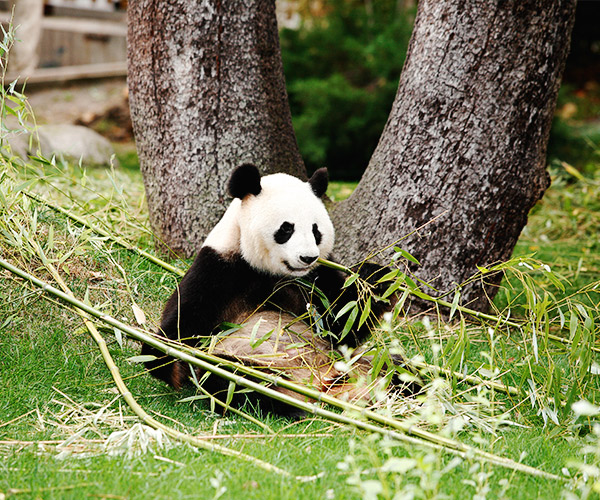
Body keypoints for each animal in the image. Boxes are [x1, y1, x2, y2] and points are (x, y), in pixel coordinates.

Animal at [142, 165, 414, 418]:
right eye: (286, 229)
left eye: (316, 230)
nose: (307, 257)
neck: (273, 273)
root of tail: (321, 383)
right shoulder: (220, 267)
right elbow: (183, 322)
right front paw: (171, 363)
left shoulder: (318, 277)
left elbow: (341, 325)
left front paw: (377, 278)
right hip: (255, 364)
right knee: (232, 377)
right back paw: (288, 403)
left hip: (356, 362)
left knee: (400, 369)